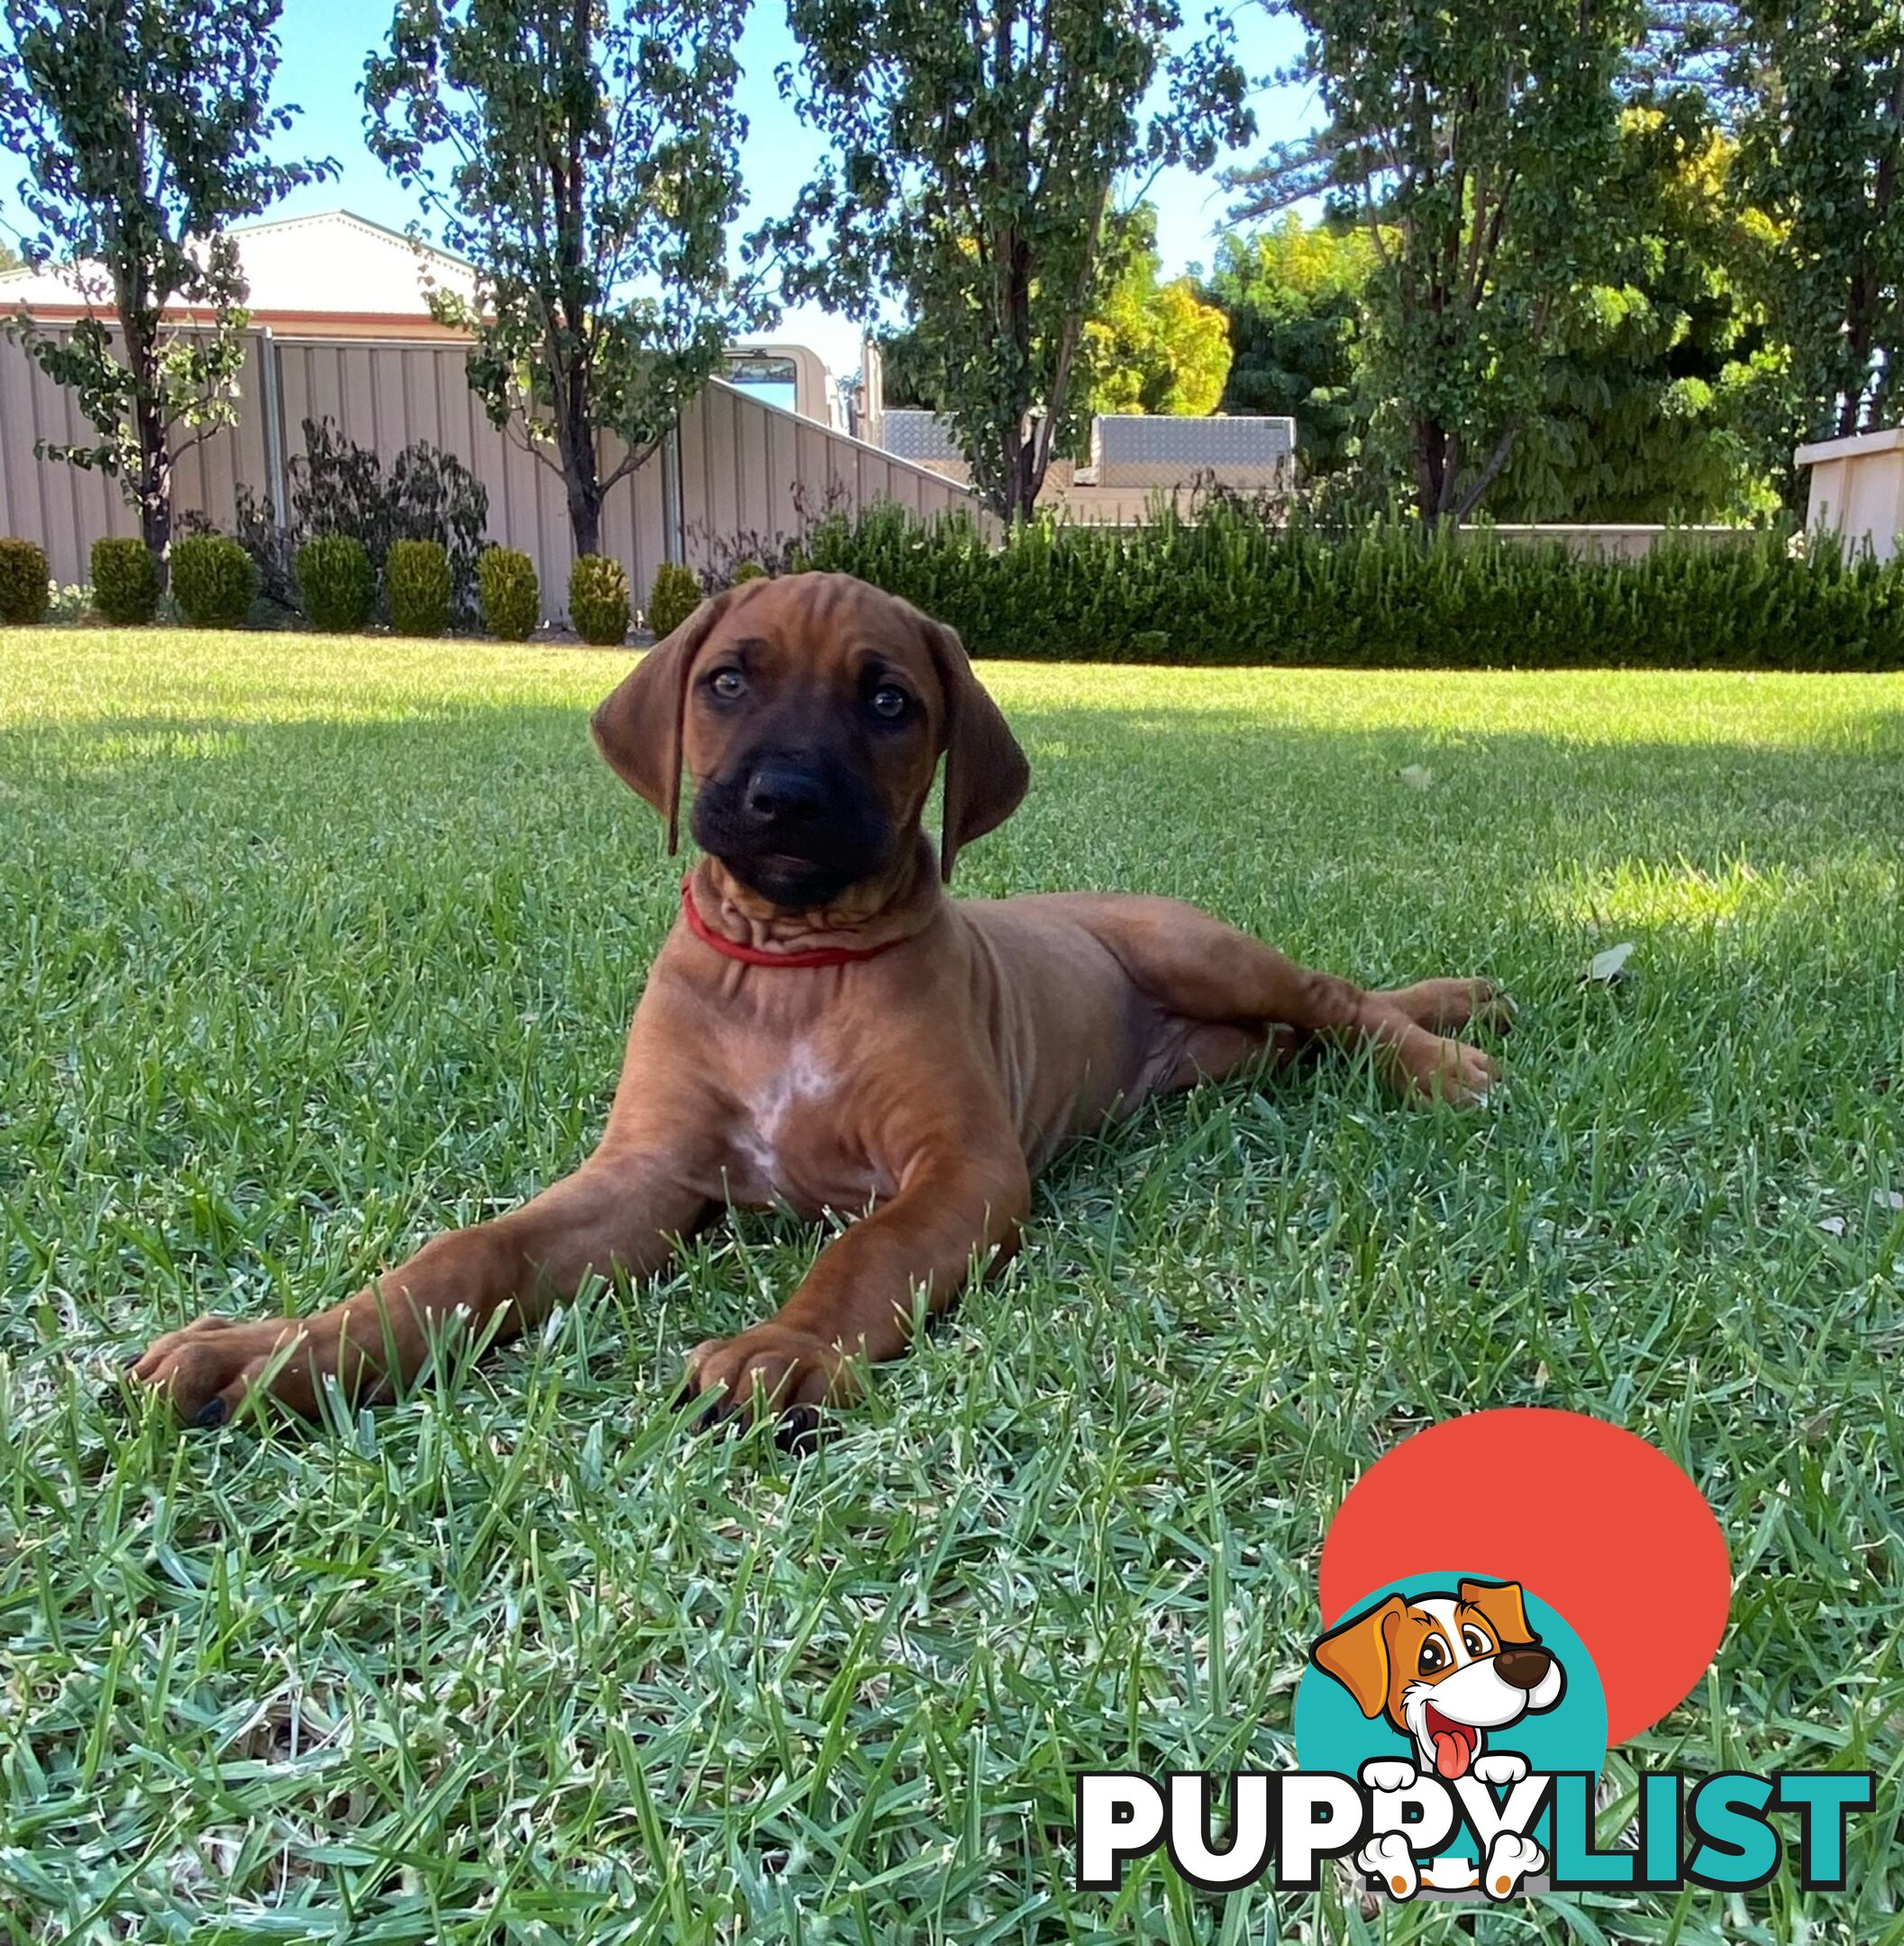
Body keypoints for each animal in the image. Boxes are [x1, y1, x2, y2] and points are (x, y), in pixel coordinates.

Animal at [129, 568, 1502, 1440]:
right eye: (728, 682)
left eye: (888, 700)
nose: (782, 797)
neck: (787, 968)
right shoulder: (642, 1173)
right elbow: (472, 1254)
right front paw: (284, 1353)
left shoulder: (959, 1167)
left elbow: (864, 1251)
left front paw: (782, 1351)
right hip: (1229, 1046)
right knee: (1296, 1039)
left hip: (1197, 948)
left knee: (1341, 1001)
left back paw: (1447, 1054)